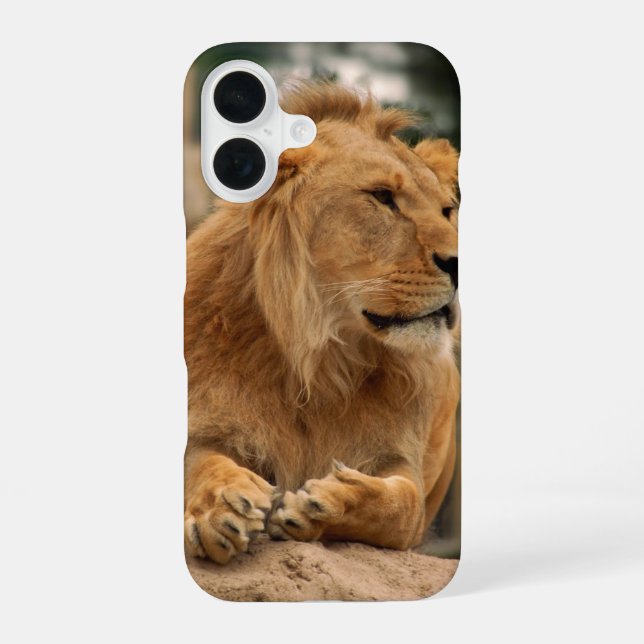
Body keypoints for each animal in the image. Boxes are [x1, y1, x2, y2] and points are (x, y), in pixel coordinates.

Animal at [184, 82, 460, 564]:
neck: (318, 362)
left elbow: (402, 505)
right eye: (382, 197)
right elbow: (201, 465)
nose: (462, 264)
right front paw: (224, 508)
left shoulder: (401, 463)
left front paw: (323, 504)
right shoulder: (205, 422)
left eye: (446, 211)